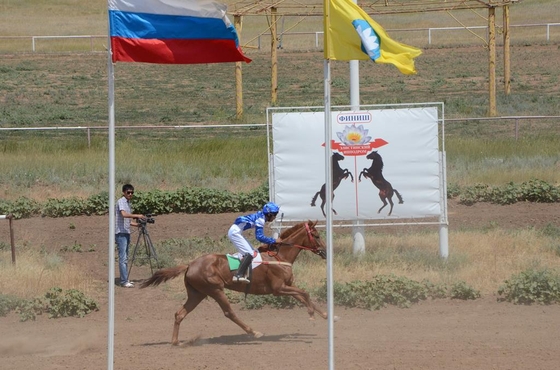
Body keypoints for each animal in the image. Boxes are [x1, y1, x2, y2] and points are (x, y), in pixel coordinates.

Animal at [139, 220, 328, 344]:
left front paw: (326, 315)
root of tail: (190, 264)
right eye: (317, 235)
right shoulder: (278, 288)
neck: (280, 256)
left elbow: (304, 296)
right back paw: (254, 332)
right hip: (215, 289)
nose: (325, 252)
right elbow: (305, 294)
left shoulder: (287, 286)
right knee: (229, 313)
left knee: (180, 314)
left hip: (197, 293)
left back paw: (175, 342)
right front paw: (312, 315)